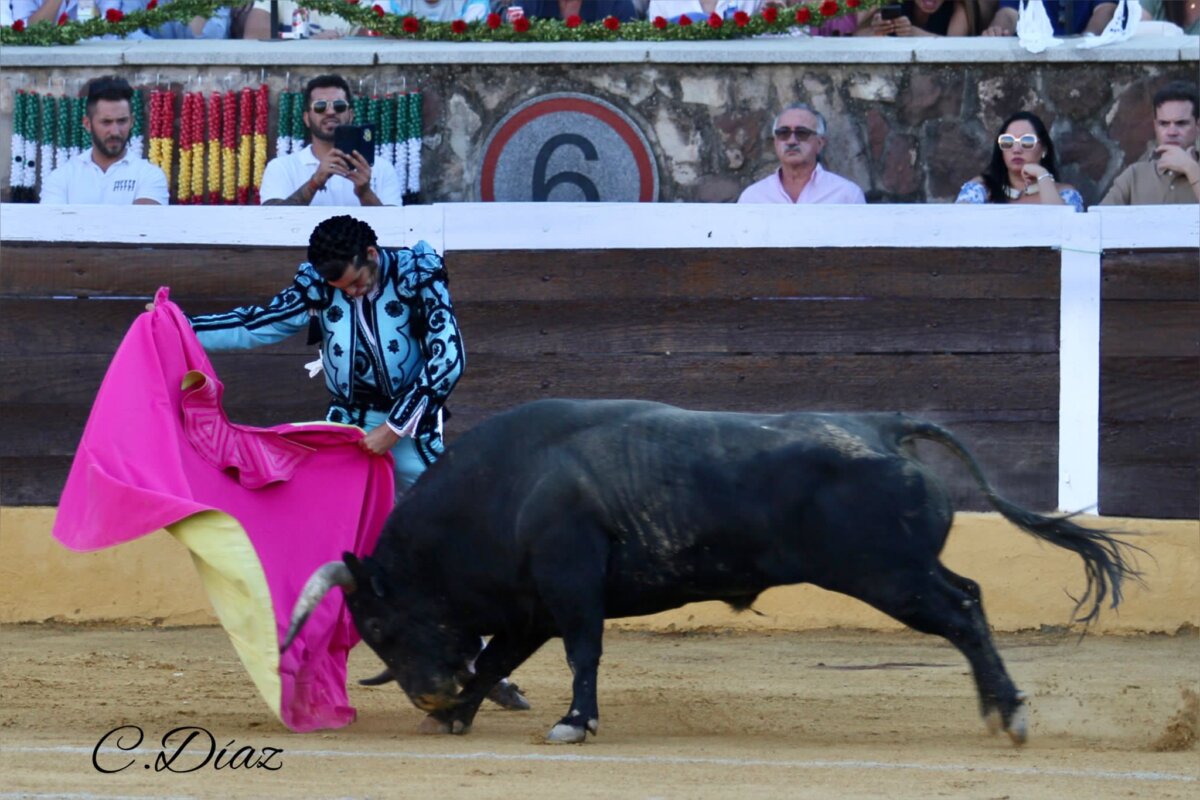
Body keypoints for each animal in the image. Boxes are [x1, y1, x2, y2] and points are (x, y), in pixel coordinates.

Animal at [283, 399, 1141, 746]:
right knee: (969, 600)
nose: (426, 692)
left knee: (961, 613)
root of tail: (882, 426)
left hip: (889, 576)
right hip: (904, 572)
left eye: (381, 622)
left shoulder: (570, 587)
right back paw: (1002, 708)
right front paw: (457, 714)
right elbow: (497, 658)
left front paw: (574, 722)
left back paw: (1012, 714)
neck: (502, 491)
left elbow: (583, 654)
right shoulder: (532, 605)